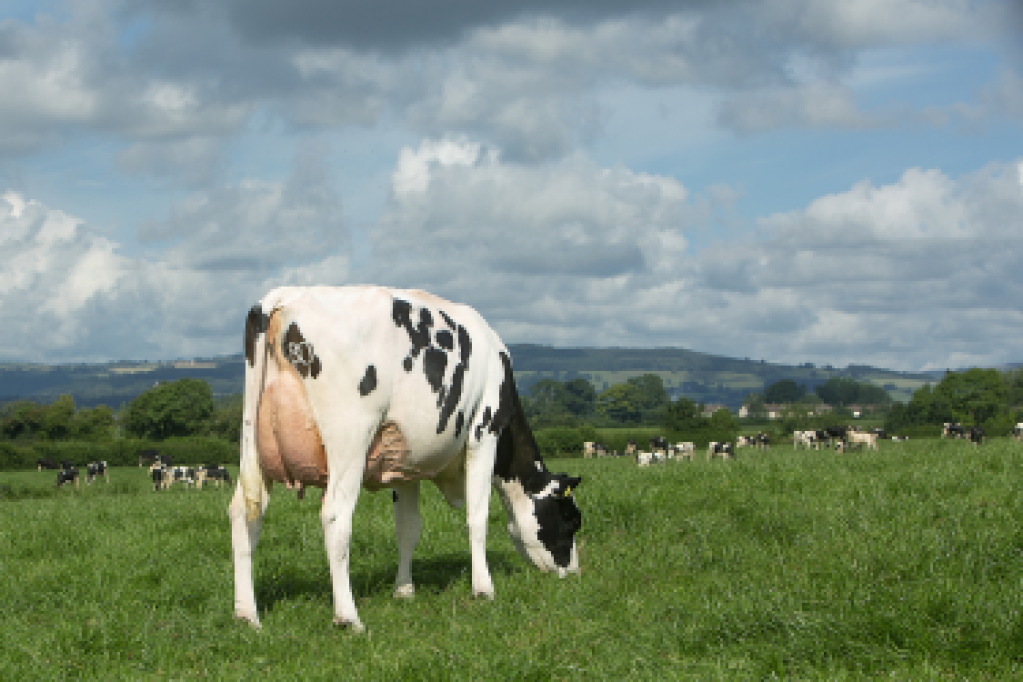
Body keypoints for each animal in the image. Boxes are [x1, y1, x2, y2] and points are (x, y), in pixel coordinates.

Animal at [233, 286, 585, 633]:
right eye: (570, 520)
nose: (574, 573)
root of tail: (284, 295)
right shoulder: (484, 434)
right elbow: (478, 517)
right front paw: (483, 588)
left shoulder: (405, 464)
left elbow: (408, 528)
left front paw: (404, 590)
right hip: (349, 439)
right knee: (335, 517)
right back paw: (348, 616)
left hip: (252, 444)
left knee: (244, 513)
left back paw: (247, 615)